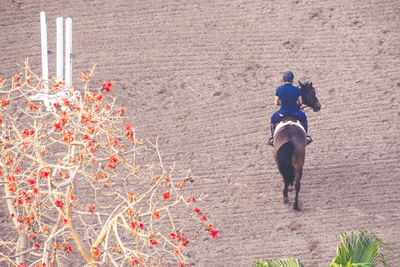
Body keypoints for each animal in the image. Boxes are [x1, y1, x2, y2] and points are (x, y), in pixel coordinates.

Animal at [274, 81, 320, 211]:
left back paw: (287, 198)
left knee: (286, 179)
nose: (318, 106)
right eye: (313, 93)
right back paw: (295, 204)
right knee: (296, 183)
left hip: (281, 163)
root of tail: (289, 140)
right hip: (299, 164)